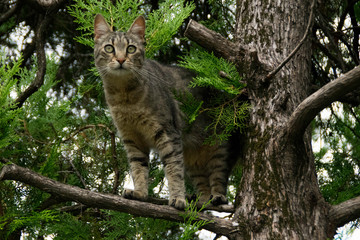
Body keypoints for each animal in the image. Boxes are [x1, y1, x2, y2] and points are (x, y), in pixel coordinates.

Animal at [94, 14, 238, 210]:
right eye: (109, 48)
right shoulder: (132, 138)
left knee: (218, 178)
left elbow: (173, 169)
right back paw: (201, 201)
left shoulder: (168, 133)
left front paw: (177, 198)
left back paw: (217, 198)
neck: (125, 97)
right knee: (203, 185)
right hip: (193, 162)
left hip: (219, 149)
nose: (122, 60)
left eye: (131, 48)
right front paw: (140, 193)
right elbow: (138, 168)